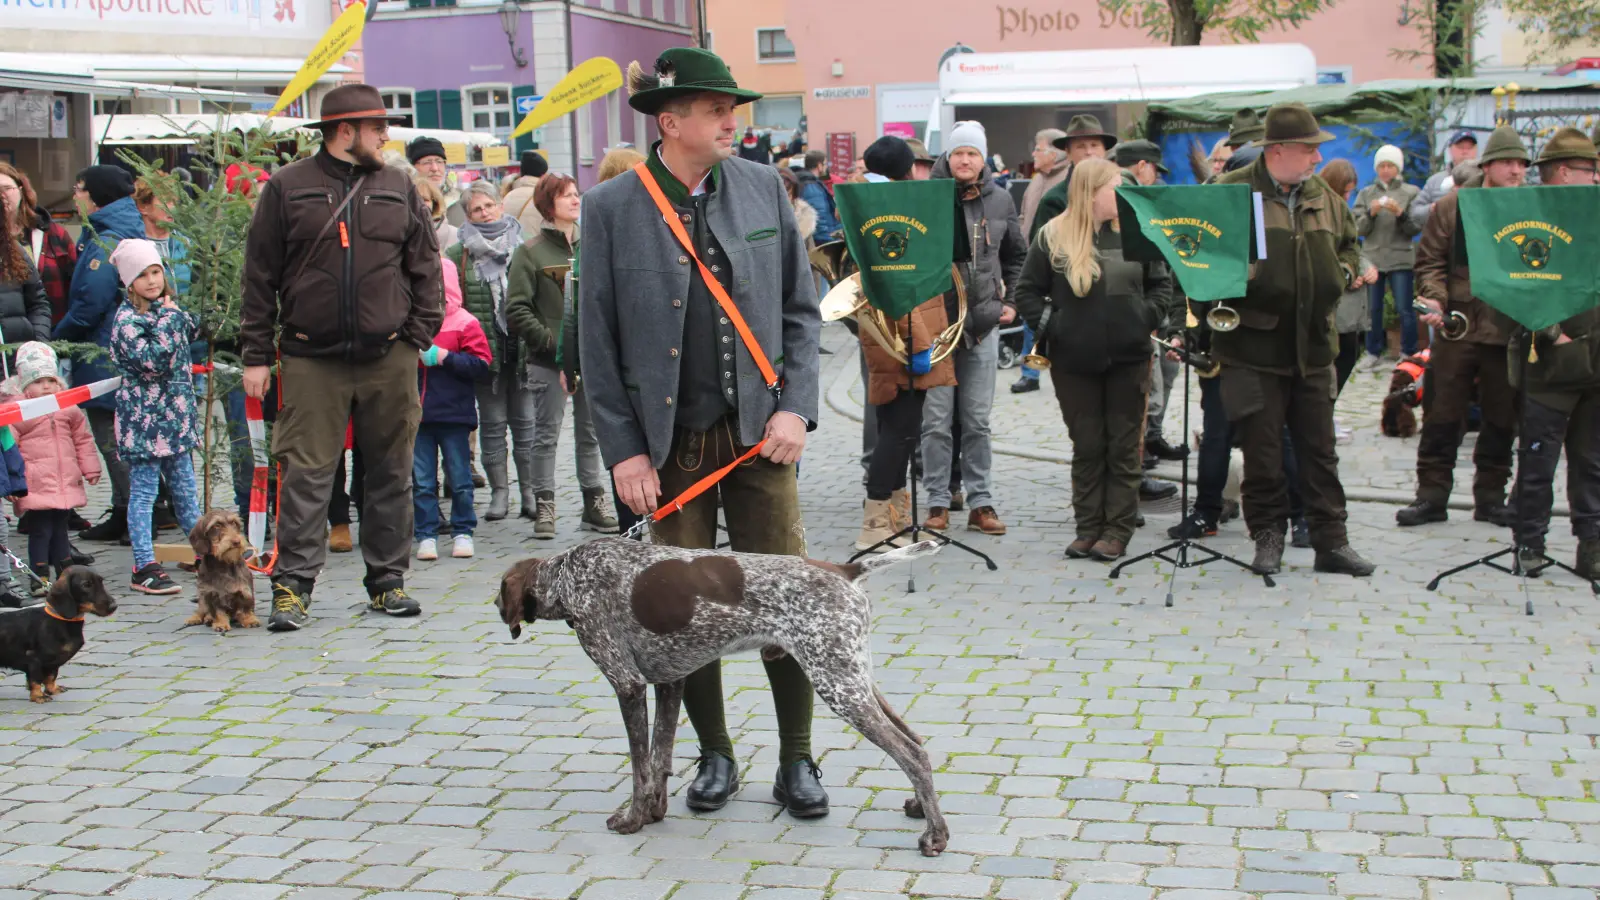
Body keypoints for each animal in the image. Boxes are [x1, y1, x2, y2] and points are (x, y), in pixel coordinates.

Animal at [496, 534, 947, 851]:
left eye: (501, 594)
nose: (497, 609)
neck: (569, 576)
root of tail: (843, 570)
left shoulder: (628, 684)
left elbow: (640, 767)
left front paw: (632, 820)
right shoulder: (670, 682)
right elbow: (659, 759)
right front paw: (655, 813)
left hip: (836, 683)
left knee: (912, 753)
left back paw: (936, 836)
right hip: (853, 676)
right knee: (916, 740)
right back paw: (918, 809)